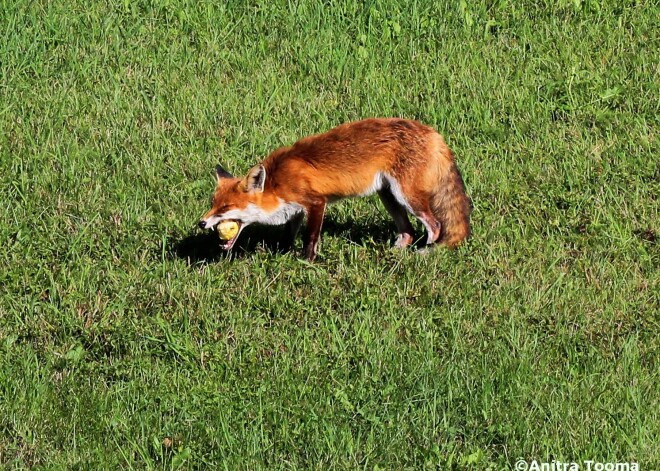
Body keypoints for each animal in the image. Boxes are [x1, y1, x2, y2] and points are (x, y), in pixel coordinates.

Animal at [199, 118, 472, 262]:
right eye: (213, 204)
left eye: (226, 207)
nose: (201, 223)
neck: (276, 182)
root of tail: (434, 134)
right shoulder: (294, 210)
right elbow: (289, 235)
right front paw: (285, 254)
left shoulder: (315, 203)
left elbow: (310, 237)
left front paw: (307, 262)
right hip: (388, 195)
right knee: (407, 232)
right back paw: (393, 251)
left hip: (408, 197)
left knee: (435, 225)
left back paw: (425, 252)